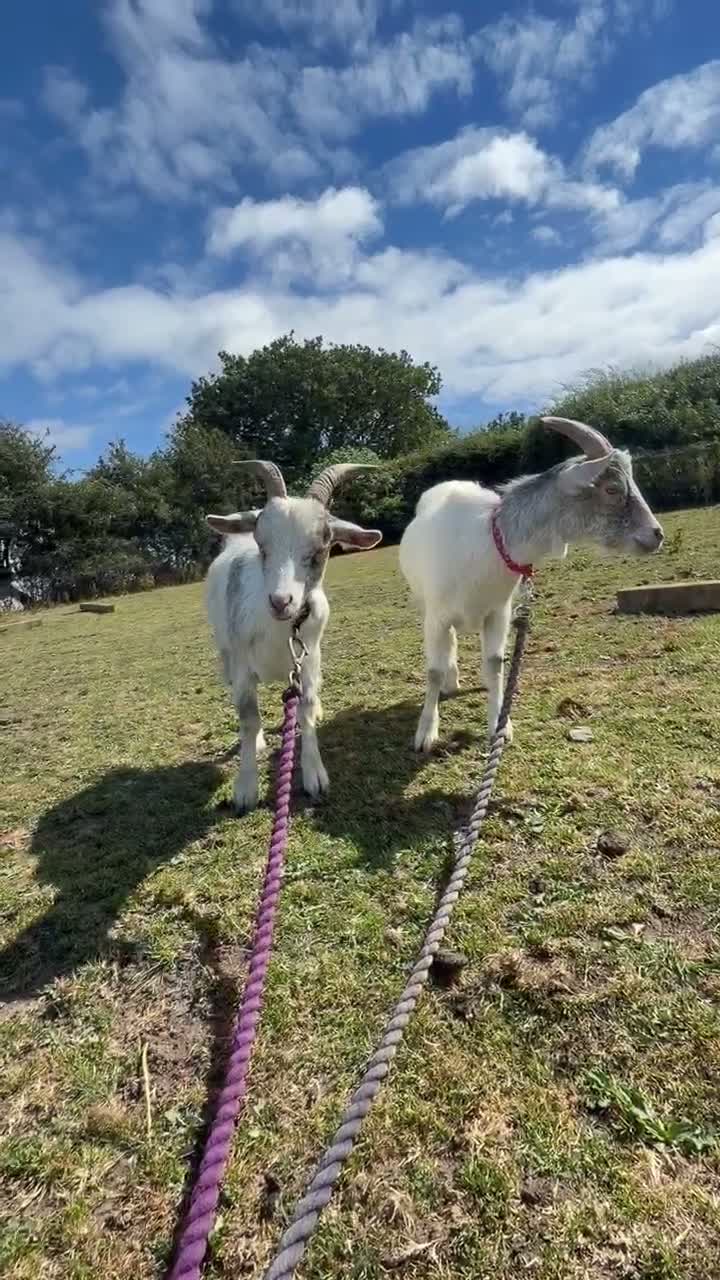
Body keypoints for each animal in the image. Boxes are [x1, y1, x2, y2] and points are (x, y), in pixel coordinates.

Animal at [206, 461, 382, 812]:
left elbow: (306, 708)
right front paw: (245, 789)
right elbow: (248, 717)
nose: (280, 601)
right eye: (262, 545)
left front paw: (315, 775)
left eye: (322, 545)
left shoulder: (308, 660)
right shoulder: (242, 667)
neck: (282, 631)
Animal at [399, 416, 664, 753]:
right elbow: (432, 671)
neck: (490, 541)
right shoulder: (436, 616)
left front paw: (500, 725)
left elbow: (496, 663)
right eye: (612, 488)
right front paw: (425, 733)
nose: (657, 534)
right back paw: (450, 681)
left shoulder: (498, 612)